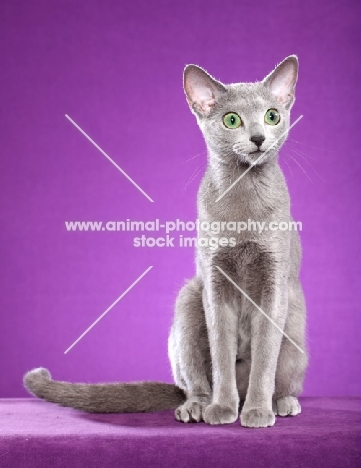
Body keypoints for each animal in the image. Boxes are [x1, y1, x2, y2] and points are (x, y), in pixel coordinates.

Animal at [24, 54, 306, 428]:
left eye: (272, 116)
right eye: (232, 120)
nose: (259, 137)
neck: (243, 200)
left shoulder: (274, 281)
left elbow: (264, 356)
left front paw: (257, 412)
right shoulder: (214, 281)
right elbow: (221, 348)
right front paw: (223, 408)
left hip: (296, 325)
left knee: (282, 374)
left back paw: (280, 403)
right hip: (188, 302)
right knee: (193, 384)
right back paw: (198, 407)